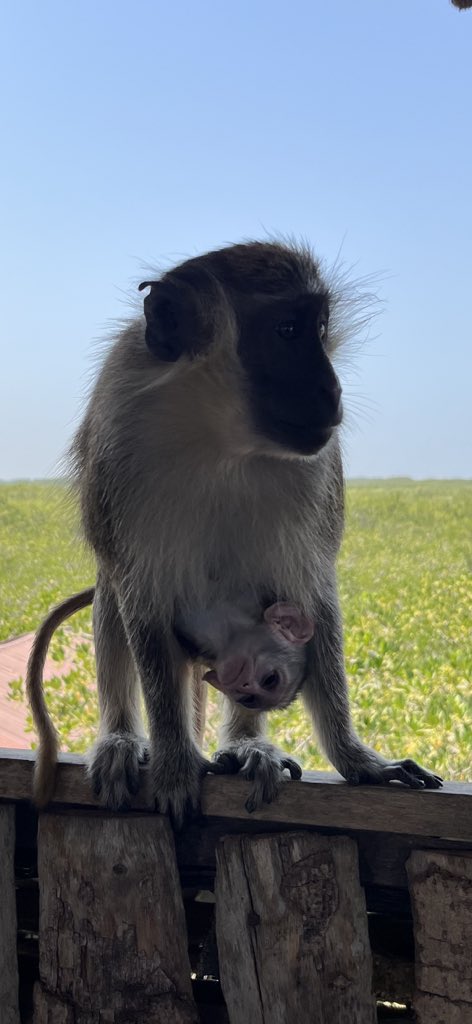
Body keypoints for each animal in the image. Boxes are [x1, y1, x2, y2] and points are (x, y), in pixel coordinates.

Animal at [27, 240, 442, 825]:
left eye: (319, 328)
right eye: (287, 331)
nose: (331, 387)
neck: (218, 436)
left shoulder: (316, 478)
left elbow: (312, 596)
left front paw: (356, 758)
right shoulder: (120, 445)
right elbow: (141, 597)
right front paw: (176, 762)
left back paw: (246, 744)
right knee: (113, 592)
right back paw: (122, 738)